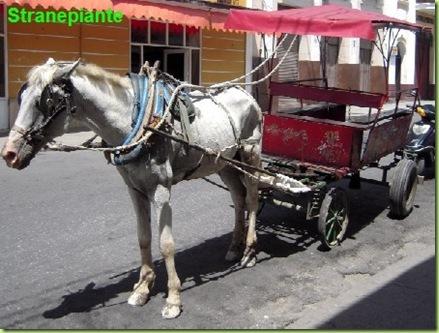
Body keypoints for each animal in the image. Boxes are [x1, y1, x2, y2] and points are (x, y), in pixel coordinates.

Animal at [0, 58, 262, 318]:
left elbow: (166, 244)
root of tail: (245, 93)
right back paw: (234, 247)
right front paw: (143, 287)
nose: (9, 154)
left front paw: (173, 298)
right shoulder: (134, 189)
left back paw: (249, 250)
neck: (135, 119)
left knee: (252, 199)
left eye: (46, 101)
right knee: (238, 198)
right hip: (224, 162)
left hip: (251, 154)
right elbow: (143, 238)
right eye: (22, 97)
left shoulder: (160, 189)